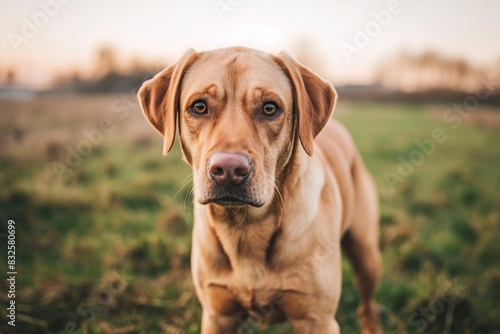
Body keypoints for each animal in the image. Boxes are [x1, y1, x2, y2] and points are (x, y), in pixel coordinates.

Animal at [139, 45, 380, 332]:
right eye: (199, 106)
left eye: (269, 108)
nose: (229, 170)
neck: (246, 227)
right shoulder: (217, 316)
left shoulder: (317, 320)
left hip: (365, 253)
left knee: (367, 308)